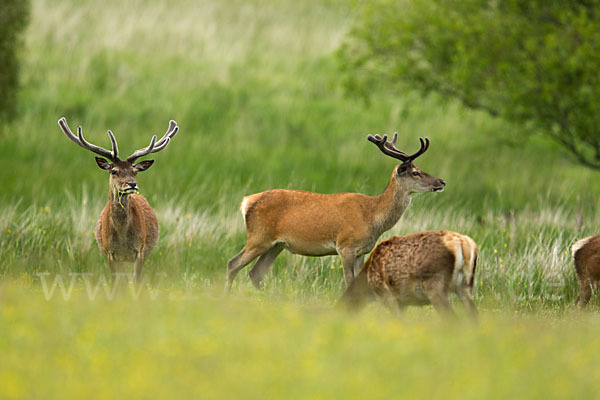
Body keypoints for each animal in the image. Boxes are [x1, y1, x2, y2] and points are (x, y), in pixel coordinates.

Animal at [58, 117, 178, 282]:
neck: (122, 238)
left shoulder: (140, 251)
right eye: (114, 171)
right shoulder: (110, 253)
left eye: (135, 171)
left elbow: (136, 282)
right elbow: (117, 283)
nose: (132, 184)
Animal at [225, 134, 446, 290]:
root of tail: (246, 202)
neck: (372, 216)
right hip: (259, 237)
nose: (441, 182)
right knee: (232, 264)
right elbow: (349, 282)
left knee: (255, 273)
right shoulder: (345, 246)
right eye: (415, 172)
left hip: (276, 245)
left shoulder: (362, 251)